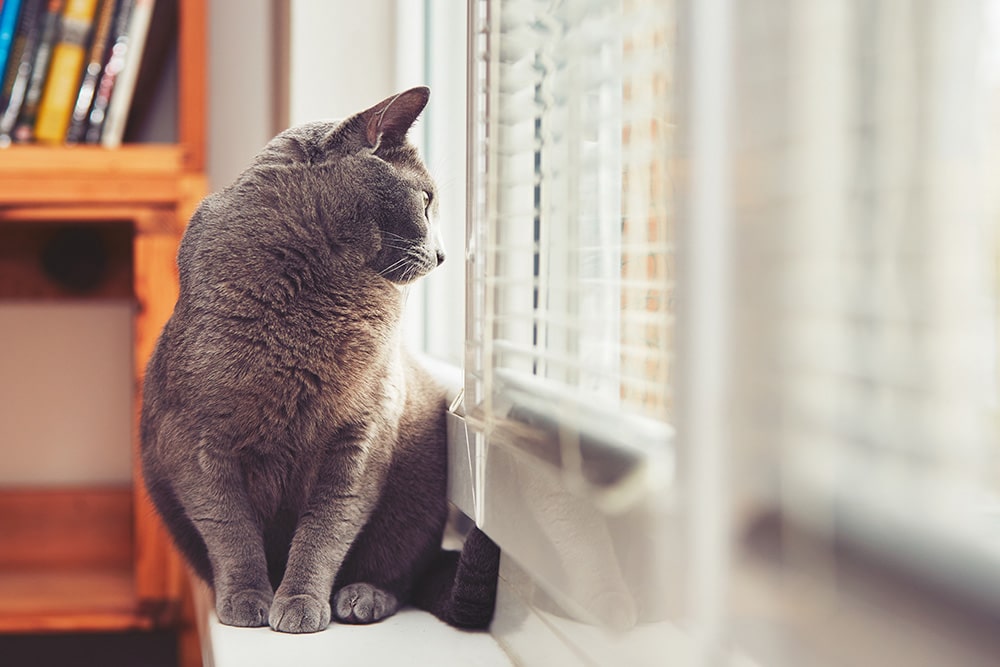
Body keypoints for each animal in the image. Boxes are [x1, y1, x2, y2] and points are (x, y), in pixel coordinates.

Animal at [141, 86, 500, 636]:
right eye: (425, 200)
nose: (442, 256)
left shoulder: (361, 436)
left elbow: (327, 528)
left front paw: (299, 602)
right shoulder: (194, 439)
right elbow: (229, 527)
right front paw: (247, 599)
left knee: (401, 572)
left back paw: (362, 596)